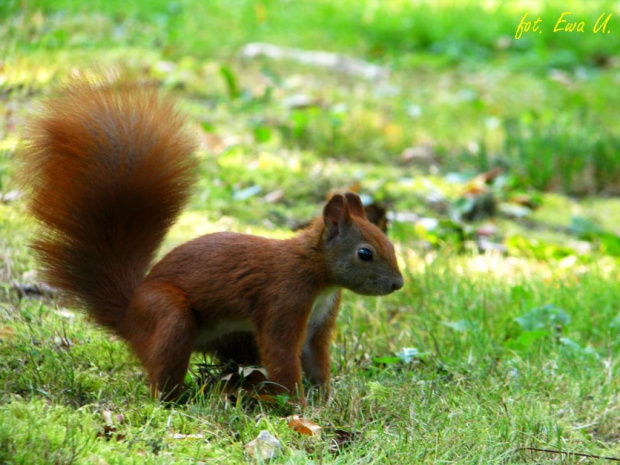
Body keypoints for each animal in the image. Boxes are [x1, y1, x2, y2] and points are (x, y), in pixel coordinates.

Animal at [19, 74, 404, 400]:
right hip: (169, 317)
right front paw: (299, 407)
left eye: (390, 244)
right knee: (162, 376)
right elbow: (282, 353)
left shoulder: (320, 322)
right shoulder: (284, 299)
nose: (398, 284)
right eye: (365, 253)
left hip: (236, 338)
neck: (317, 272)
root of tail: (128, 315)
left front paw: (325, 400)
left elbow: (315, 360)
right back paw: (180, 399)